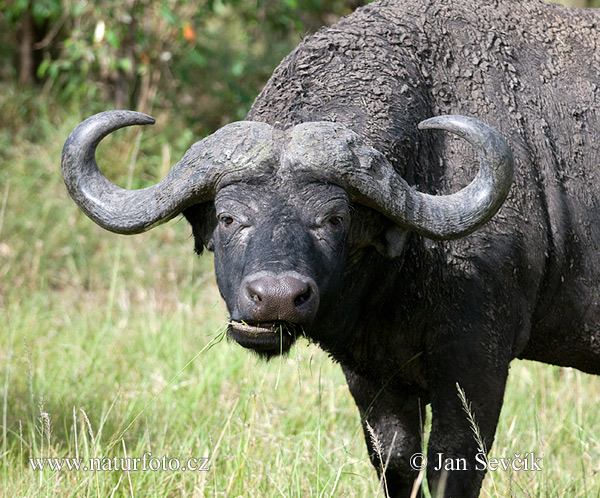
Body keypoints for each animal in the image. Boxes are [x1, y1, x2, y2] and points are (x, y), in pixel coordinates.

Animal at [62, 0, 600, 496]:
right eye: (228, 218)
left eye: (334, 219)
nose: (276, 297)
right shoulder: (371, 373)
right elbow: (395, 460)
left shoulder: (477, 359)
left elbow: (452, 464)